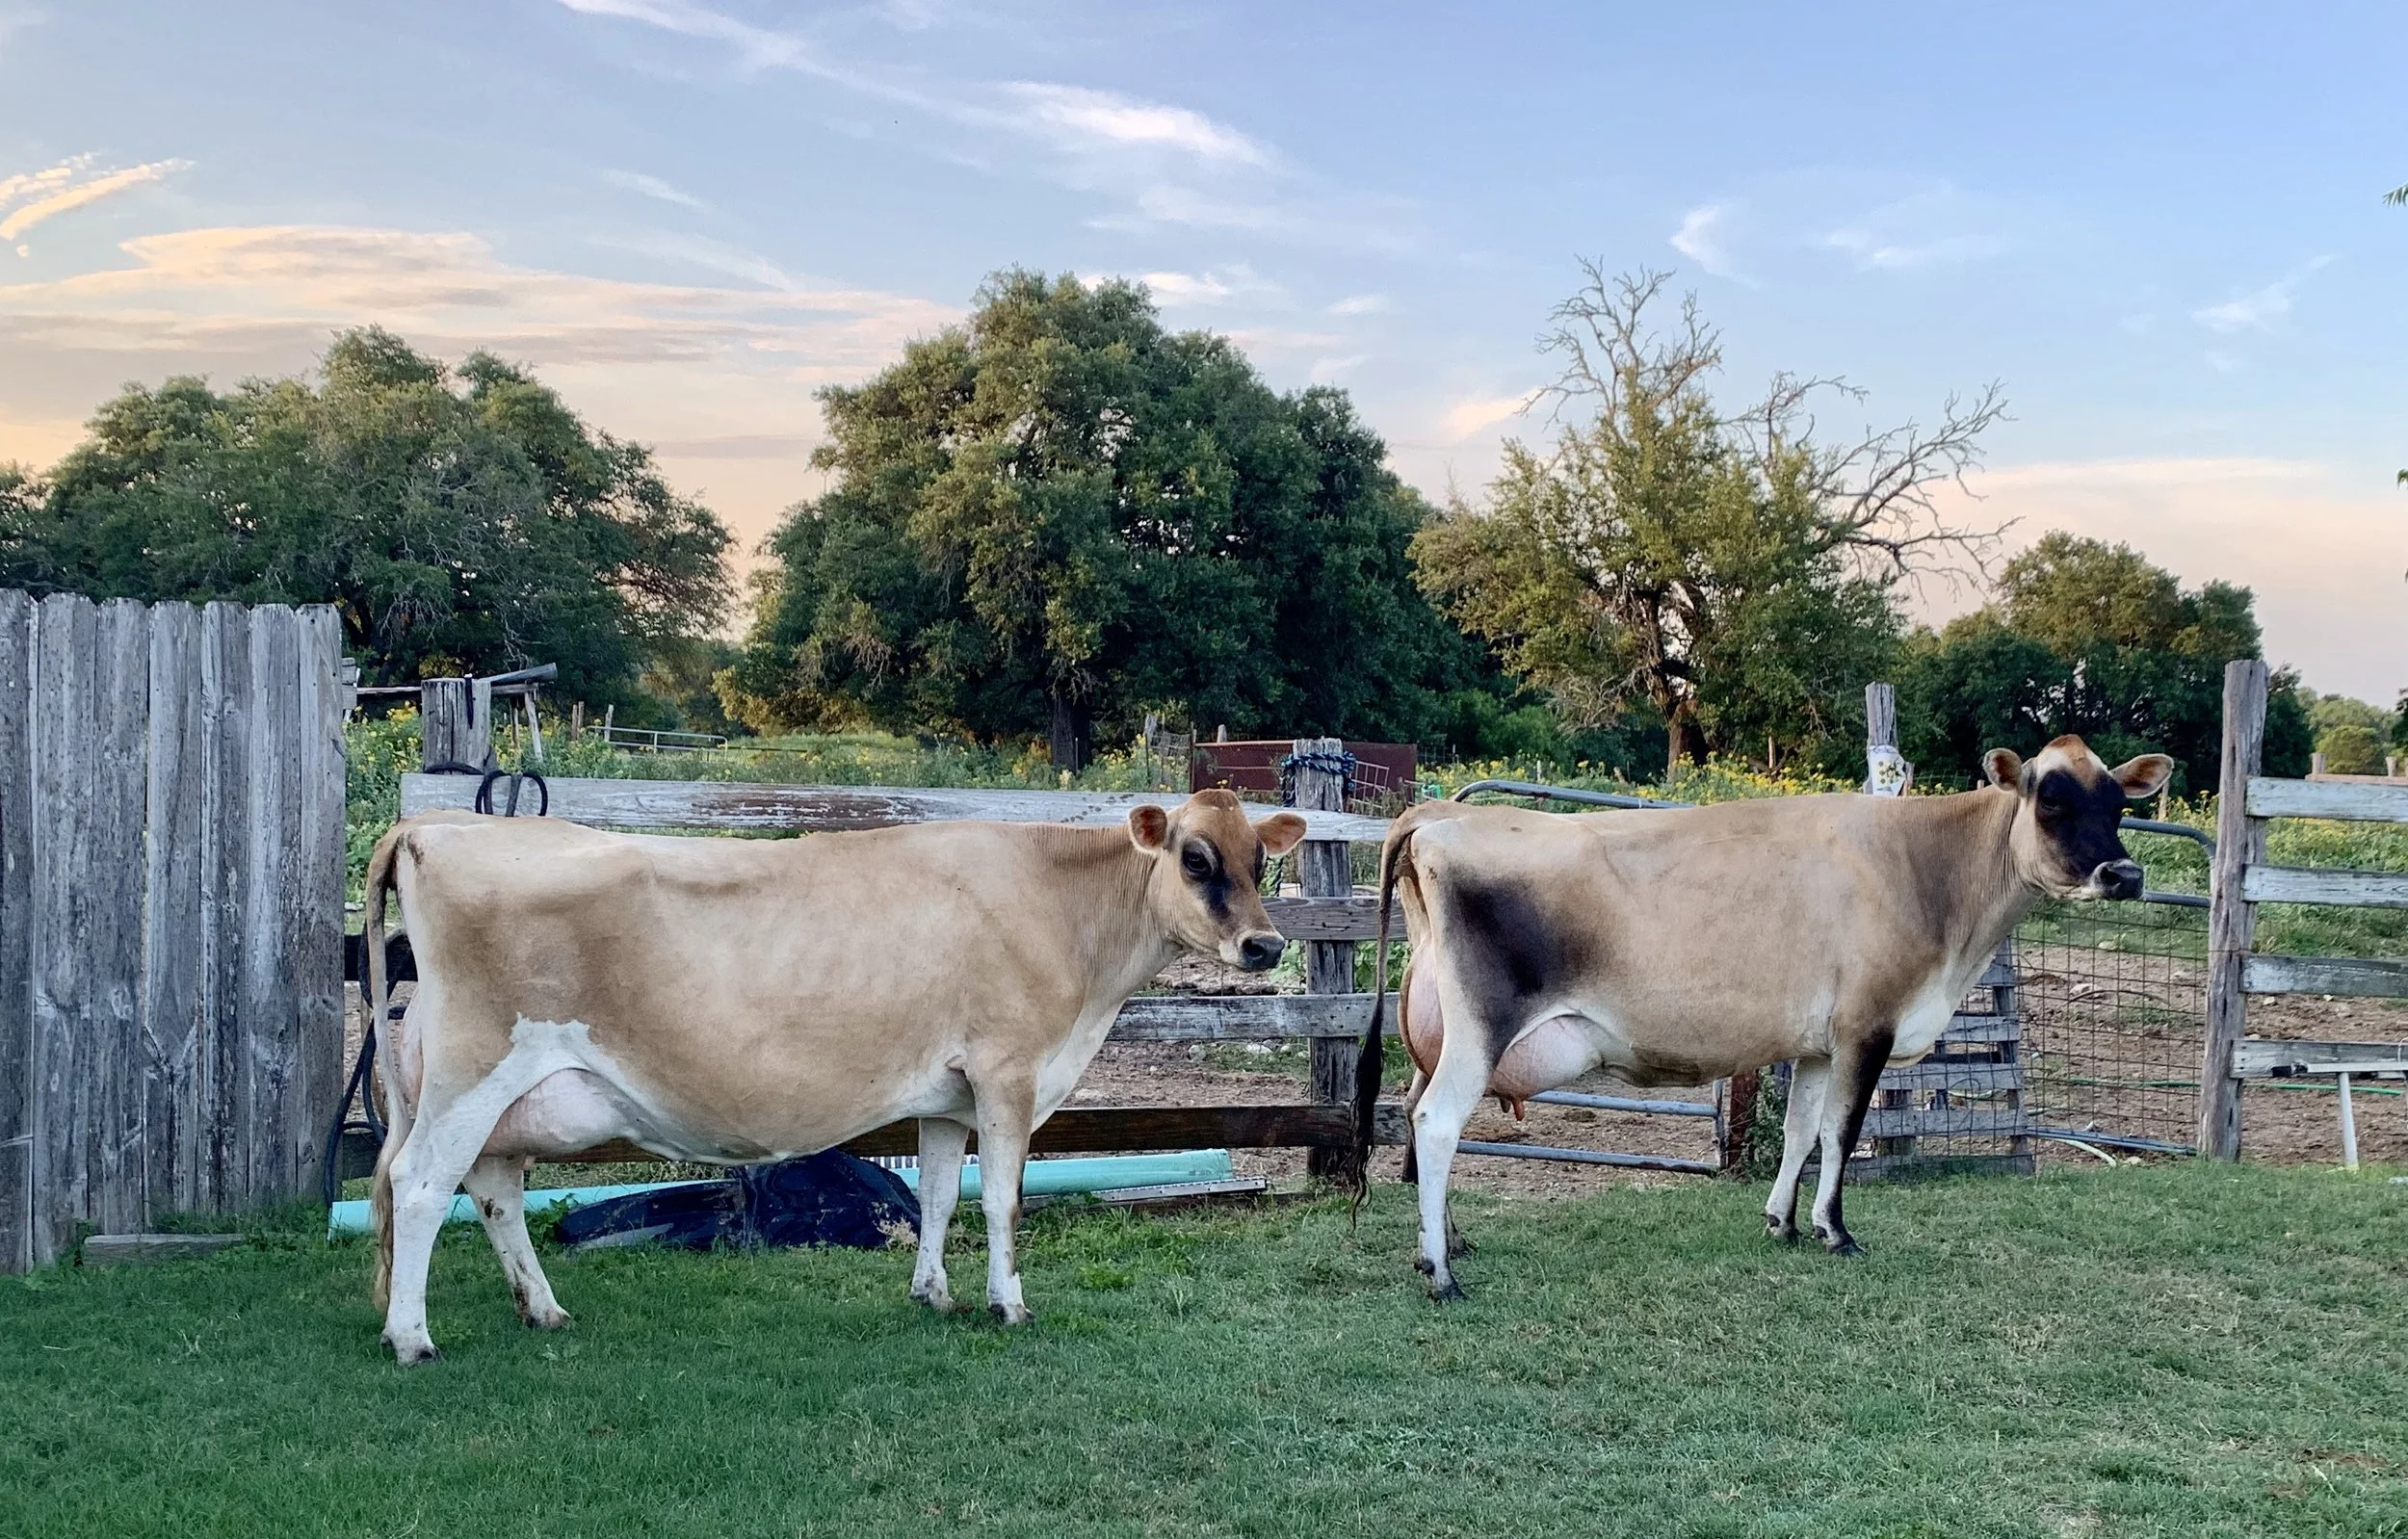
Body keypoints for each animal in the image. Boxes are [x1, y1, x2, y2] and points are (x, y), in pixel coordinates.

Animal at [363, 790, 1307, 1364]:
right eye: (1194, 858)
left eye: (1260, 861)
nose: (1265, 947)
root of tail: (437, 822)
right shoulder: (1008, 1072)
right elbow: (1001, 1202)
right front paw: (1008, 1306)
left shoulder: (949, 1093)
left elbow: (939, 1195)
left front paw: (933, 1294)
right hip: (473, 1070)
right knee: (421, 1186)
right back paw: (411, 1338)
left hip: (496, 1097)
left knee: (492, 1192)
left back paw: (543, 1309)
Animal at [1350, 735, 2172, 1299]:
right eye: (2050, 800)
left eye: (2119, 805)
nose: (2125, 874)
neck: (1927, 873)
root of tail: (1437, 815)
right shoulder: (1866, 1026)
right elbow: (1842, 1134)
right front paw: (1835, 1231)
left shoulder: (1814, 1044)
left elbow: (1801, 1131)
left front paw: (1783, 1222)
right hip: (1481, 1026)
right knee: (1438, 1123)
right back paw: (1443, 1275)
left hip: (1439, 1037)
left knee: (1418, 1116)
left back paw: (1445, 1246)